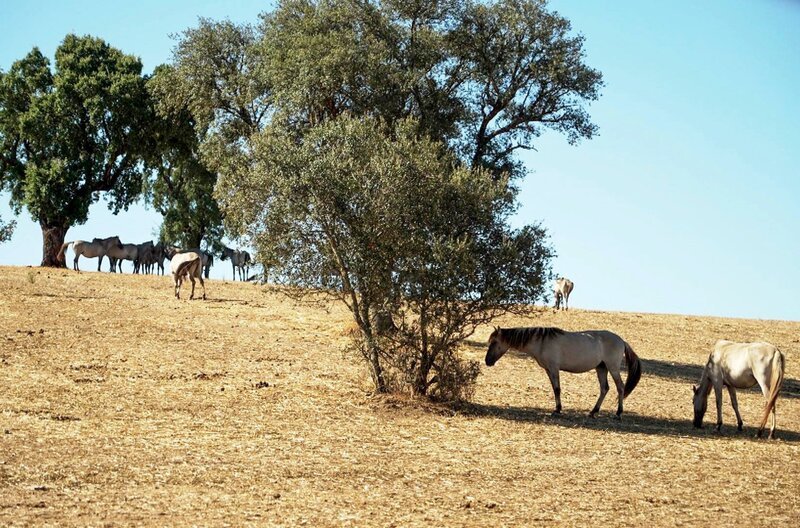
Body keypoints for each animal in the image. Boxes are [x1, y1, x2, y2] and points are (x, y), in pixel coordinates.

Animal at [485, 326, 642, 418]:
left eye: (494, 342)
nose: (487, 361)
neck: (541, 342)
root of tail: (622, 341)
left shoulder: (554, 368)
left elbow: (557, 389)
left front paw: (557, 410)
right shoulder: (548, 370)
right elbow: (554, 389)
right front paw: (557, 408)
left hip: (612, 367)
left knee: (620, 387)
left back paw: (618, 413)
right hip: (601, 368)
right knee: (604, 388)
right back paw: (593, 412)